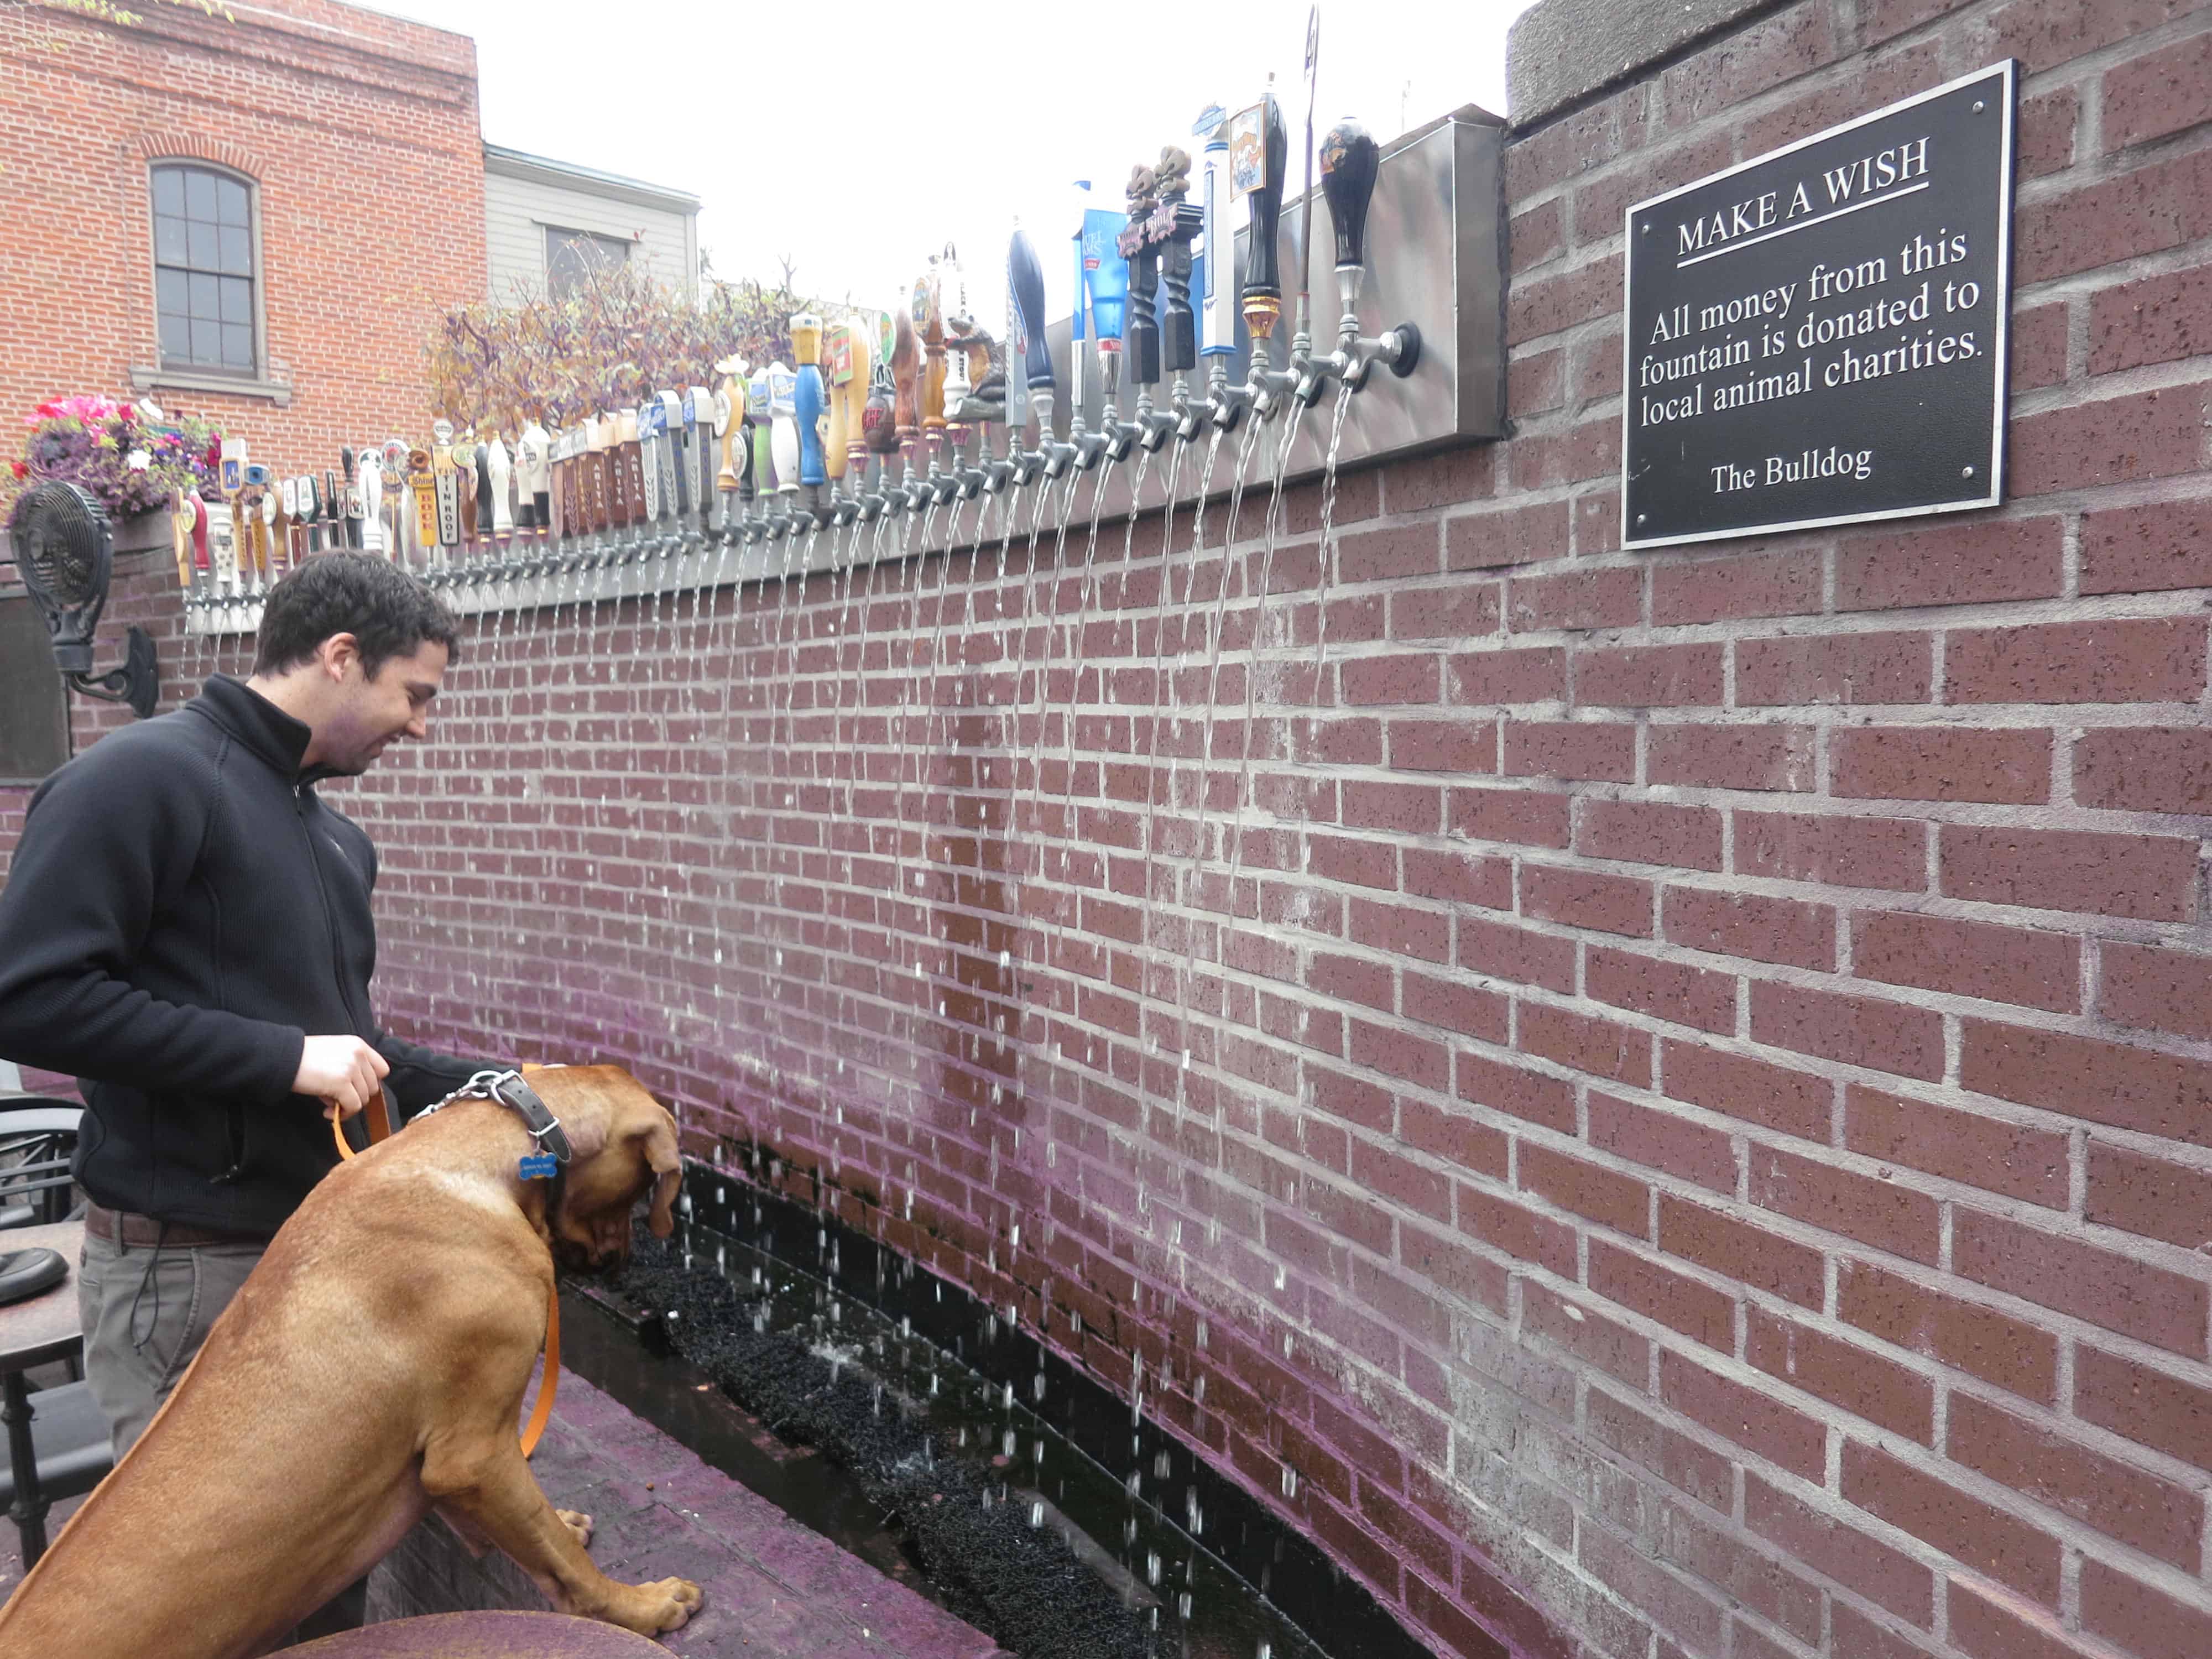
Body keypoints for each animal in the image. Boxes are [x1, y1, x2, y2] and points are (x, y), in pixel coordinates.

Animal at [0, 1066, 699, 1659]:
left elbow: (533, 1526)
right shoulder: (470, 1452)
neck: (486, 1159)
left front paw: (564, 1523)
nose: (621, 1263)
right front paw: (639, 1607)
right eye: (642, 1194)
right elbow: (560, 1560)